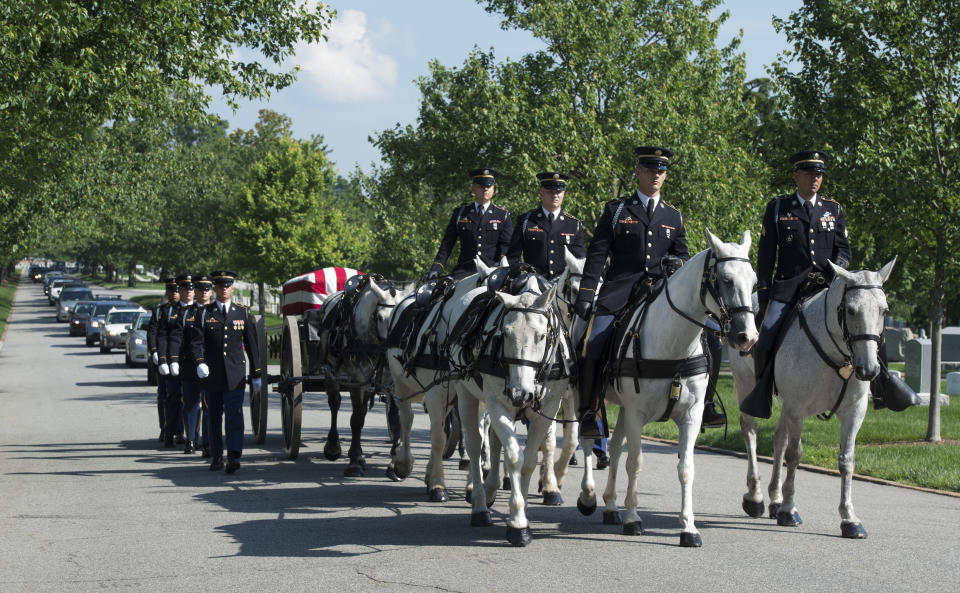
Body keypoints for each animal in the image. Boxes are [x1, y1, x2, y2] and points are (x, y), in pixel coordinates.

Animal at [450, 278, 568, 544]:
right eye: (505, 333)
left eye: (540, 336)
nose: (519, 393)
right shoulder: (497, 403)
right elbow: (514, 456)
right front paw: (517, 522)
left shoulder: (547, 408)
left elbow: (529, 462)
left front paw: (523, 510)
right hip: (466, 393)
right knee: (475, 445)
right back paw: (480, 505)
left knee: (494, 442)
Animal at [572, 229, 760, 544]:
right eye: (725, 279)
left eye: (754, 281)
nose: (747, 337)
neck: (674, 345)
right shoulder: (637, 414)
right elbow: (635, 463)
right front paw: (633, 519)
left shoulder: (691, 415)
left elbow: (685, 468)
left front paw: (688, 527)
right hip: (584, 398)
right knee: (587, 439)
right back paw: (588, 496)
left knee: (615, 446)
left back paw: (610, 507)